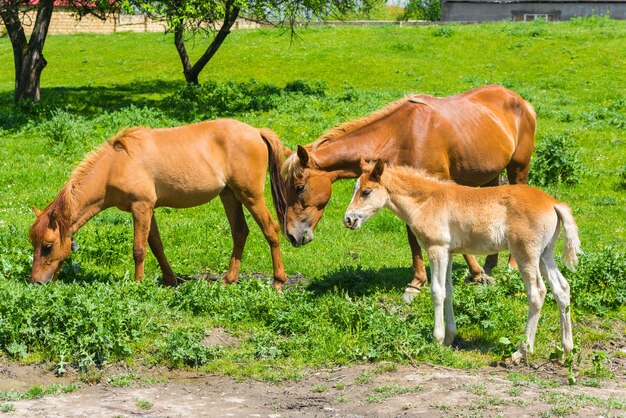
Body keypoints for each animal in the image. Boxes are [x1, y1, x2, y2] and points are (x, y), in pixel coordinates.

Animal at [30, 118, 288, 290]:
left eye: (47, 246)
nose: (36, 282)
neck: (115, 165)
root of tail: (257, 132)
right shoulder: (148, 209)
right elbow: (156, 245)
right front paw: (170, 280)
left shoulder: (141, 206)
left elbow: (139, 249)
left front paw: (138, 284)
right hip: (230, 195)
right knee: (240, 232)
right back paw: (228, 280)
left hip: (250, 195)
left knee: (271, 230)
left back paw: (278, 281)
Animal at [280, 84, 532, 300]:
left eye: (299, 187)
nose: (292, 235)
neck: (401, 136)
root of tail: (519, 100)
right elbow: (412, 237)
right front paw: (416, 283)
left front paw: (476, 274)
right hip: (490, 176)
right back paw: (490, 263)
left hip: (518, 169)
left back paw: (511, 266)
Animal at [344, 160, 576, 362]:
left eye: (365, 192)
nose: (348, 219)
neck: (426, 201)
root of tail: (553, 203)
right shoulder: (448, 252)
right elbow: (448, 291)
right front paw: (449, 338)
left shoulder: (436, 249)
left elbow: (437, 292)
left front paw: (436, 340)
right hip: (545, 255)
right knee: (562, 289)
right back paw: (566, 350)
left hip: (526, 254)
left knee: (537, 293)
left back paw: (522, 351)